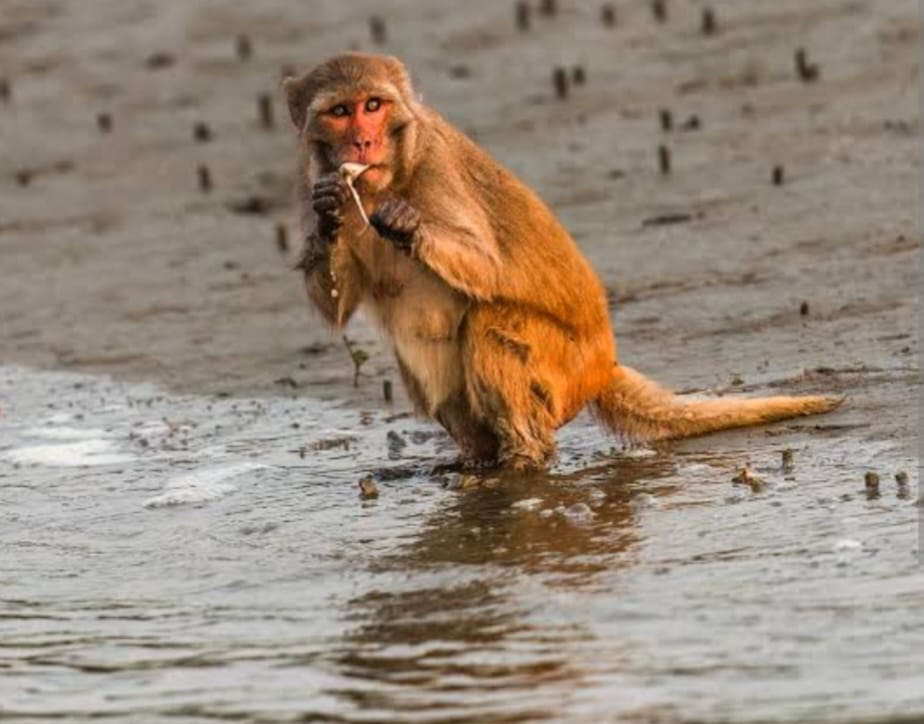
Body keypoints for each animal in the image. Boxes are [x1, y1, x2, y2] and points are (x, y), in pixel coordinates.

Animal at [283, 53, 841, 471]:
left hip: (562, 373)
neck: (385, 179)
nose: (362, 141)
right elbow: (337, 307)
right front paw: (332, 213)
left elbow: (486, 267)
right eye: (341, 111)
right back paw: (478, 463)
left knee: (489, 324)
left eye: (374, 105)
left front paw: (406, 223)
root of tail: (602, 364)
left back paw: (524, 463)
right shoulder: (311, 176)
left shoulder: (435, 168)